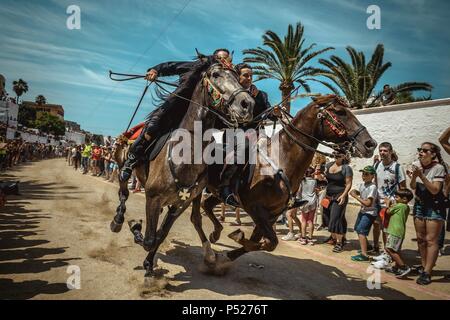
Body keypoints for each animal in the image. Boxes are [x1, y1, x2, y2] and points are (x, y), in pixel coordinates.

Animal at [110, 62, 255, 278]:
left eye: (238, 76)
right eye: (216, 74)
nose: (247, 104)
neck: (184, 155)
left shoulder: (180, 204)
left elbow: (160, 235)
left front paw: (149, 264)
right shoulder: (153, 197)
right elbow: (148, 239)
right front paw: (134, 225)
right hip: (122, 164)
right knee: (123, 190)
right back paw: (118, 219)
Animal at [200, 93, 376, 268]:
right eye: (340, 112)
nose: (370, 144)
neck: (281, 159)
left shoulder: (271, 214)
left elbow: (264, 243)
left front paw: (227, 255)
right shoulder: (255, 208)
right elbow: (268, 242)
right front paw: (235, 241)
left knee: (205, 205)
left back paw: (215, 234)